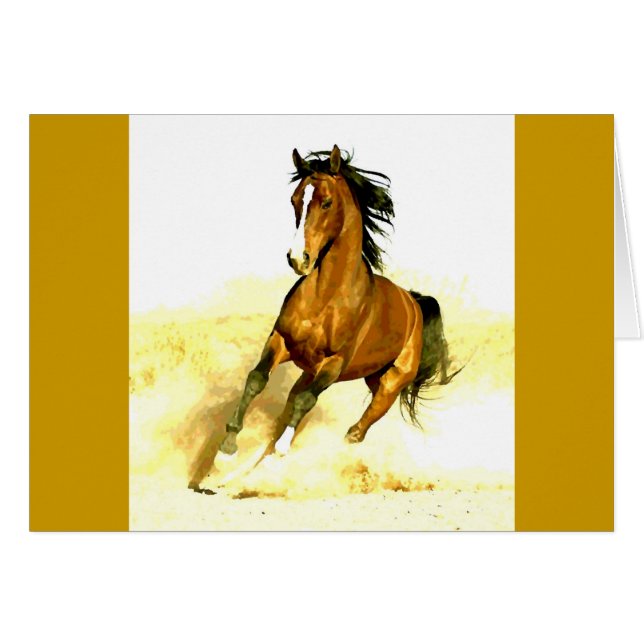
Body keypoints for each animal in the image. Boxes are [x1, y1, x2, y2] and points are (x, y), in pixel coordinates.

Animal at [217, 145, 458, 463]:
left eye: (327, 203)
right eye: (295, 200)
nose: (298, 259)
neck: (326, 298)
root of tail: (414, 302)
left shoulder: (334, 362)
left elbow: (306, 401)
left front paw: (282, 447)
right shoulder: (281, 340)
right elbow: (257, 379)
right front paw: (228, 446)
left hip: (389, 384)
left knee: (358, 429)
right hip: (328, 372)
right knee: (293, 400)